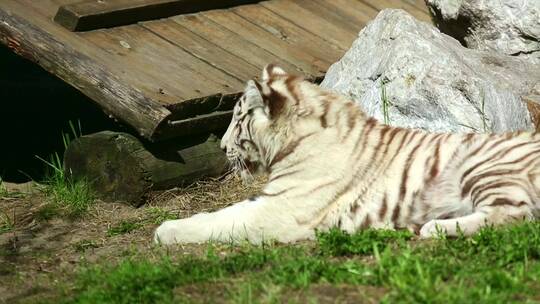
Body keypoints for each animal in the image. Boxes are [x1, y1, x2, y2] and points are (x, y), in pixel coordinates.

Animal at [153, 64, 540, 245]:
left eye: (237, 119)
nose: (221, 147)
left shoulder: (280, 209)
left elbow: (223, 220)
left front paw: (165, 231)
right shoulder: (271, 200)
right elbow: (220, 212)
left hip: (485, 168)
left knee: (514, 215)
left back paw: (434, 227)